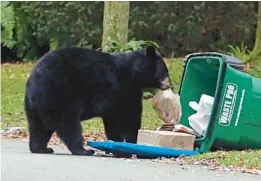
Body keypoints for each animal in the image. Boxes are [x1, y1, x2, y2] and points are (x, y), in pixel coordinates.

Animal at [23, 46, 171, 156]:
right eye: (165, 70)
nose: (170, 84)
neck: (134, 73)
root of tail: (34, 83)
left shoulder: (115, 100)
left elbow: (113, 122)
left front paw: (117, 145)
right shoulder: (124, 89)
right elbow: (129, 118)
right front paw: (130, 144)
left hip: (35, 106)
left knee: (39, 127)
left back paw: (41, 148)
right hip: (62, 95)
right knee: (69, 125)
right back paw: (84, 150)